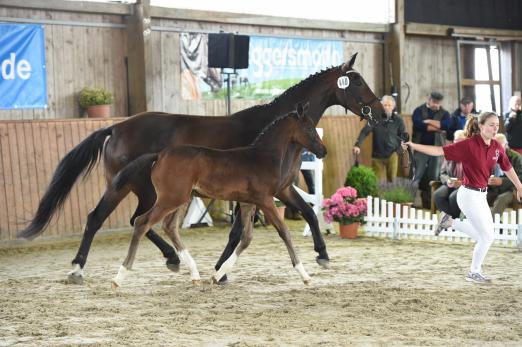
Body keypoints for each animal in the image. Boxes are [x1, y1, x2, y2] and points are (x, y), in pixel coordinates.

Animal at [110, 103, 324, 288]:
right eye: (309, 128)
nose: (323, 151)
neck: (263, 157)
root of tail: (160, 155)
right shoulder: (266, 200)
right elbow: (284, 232)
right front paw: (305, 276)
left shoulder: (248, 202)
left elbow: (246, 238)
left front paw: (218, 275)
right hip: (171, 198)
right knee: (142, 222)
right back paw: (119, 276)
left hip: (181, 198)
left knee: (169, 226)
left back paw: (195, 274)